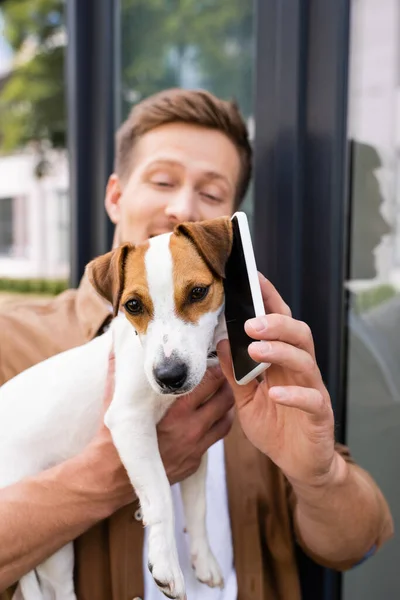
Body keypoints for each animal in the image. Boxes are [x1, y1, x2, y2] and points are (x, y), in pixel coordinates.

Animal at [0, 217, 233, 600]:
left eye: (198, 292)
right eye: (133, 305)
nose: (169, 377)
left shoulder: (199, 444)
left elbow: (197, 504)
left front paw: (204, 559)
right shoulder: (129, 420)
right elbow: (159, 493)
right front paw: (167, 565)